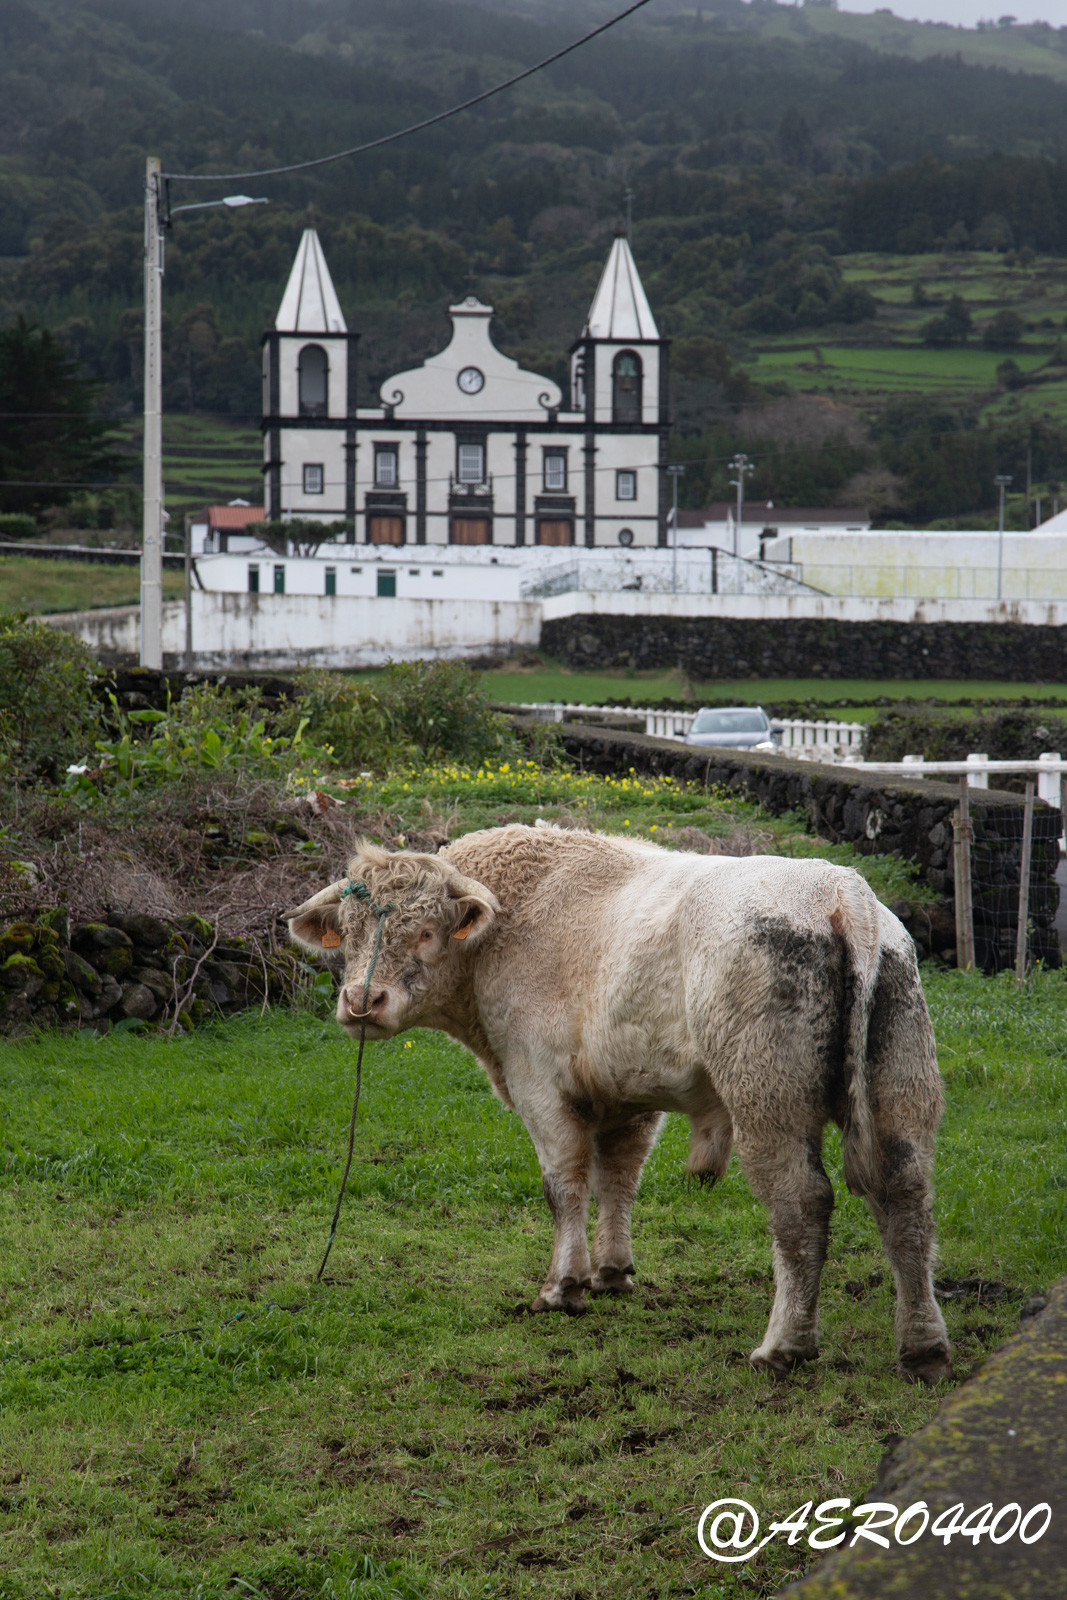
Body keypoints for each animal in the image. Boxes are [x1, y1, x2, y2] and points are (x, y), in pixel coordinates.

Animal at [286, 819, 953, 1382]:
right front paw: (611, 1271)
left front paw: (564, 1286)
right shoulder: (631, 1092)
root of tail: (841, 891)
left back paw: (784, 1345)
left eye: (426, 931)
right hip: (901, 1082)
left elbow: (566, 1186)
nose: (362, 1002)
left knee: (801, 1203)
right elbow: (618, 1178)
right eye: (349, 934)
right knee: (904, 1195)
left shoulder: (540, 1084)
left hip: (766, 1098)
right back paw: (922, 1346)